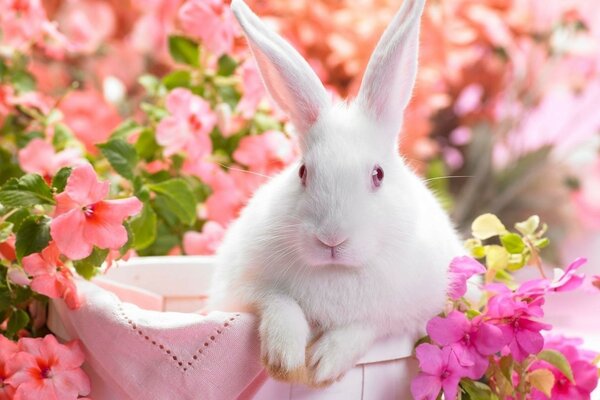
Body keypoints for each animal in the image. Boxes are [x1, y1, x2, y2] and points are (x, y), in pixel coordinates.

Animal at [209, 0, 466, 388]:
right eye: (303, 172)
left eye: (378, 175)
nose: (331, 239)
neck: (337, 271)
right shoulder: (242, 288)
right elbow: (278, 302)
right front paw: (285, 359)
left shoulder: (410, 311)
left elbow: (366, 325)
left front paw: (322, 364)